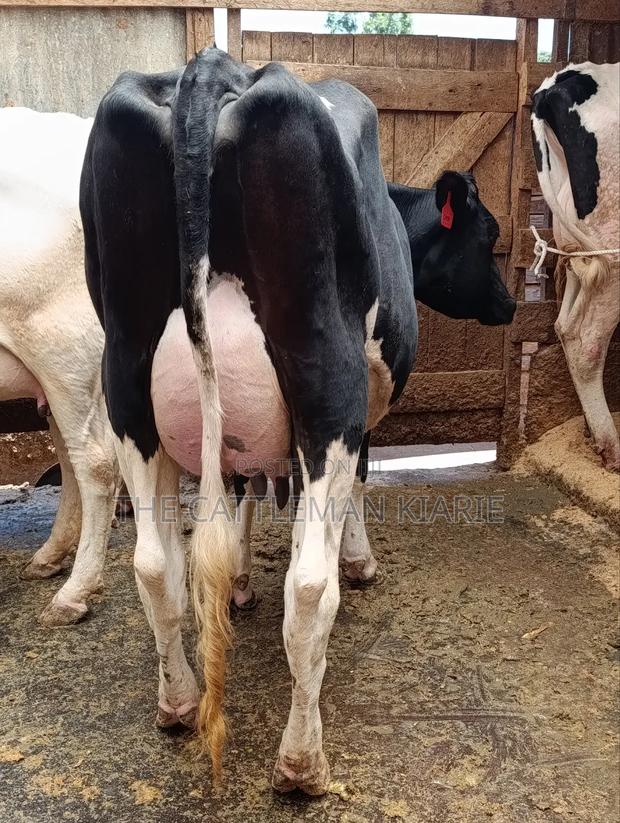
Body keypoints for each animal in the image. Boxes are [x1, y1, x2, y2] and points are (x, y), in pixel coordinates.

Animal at [81, 47, 515, 794]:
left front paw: (240, 582)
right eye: (486, 237)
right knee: (310, 589)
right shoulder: (361, 407)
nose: (513, 303)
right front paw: (360, 558)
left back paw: (178, 702)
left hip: (128, 374)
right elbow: (360, 484)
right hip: (325, 378)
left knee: (155, 564)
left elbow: (243, 488)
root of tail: (212, 69)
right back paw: (302, 762)